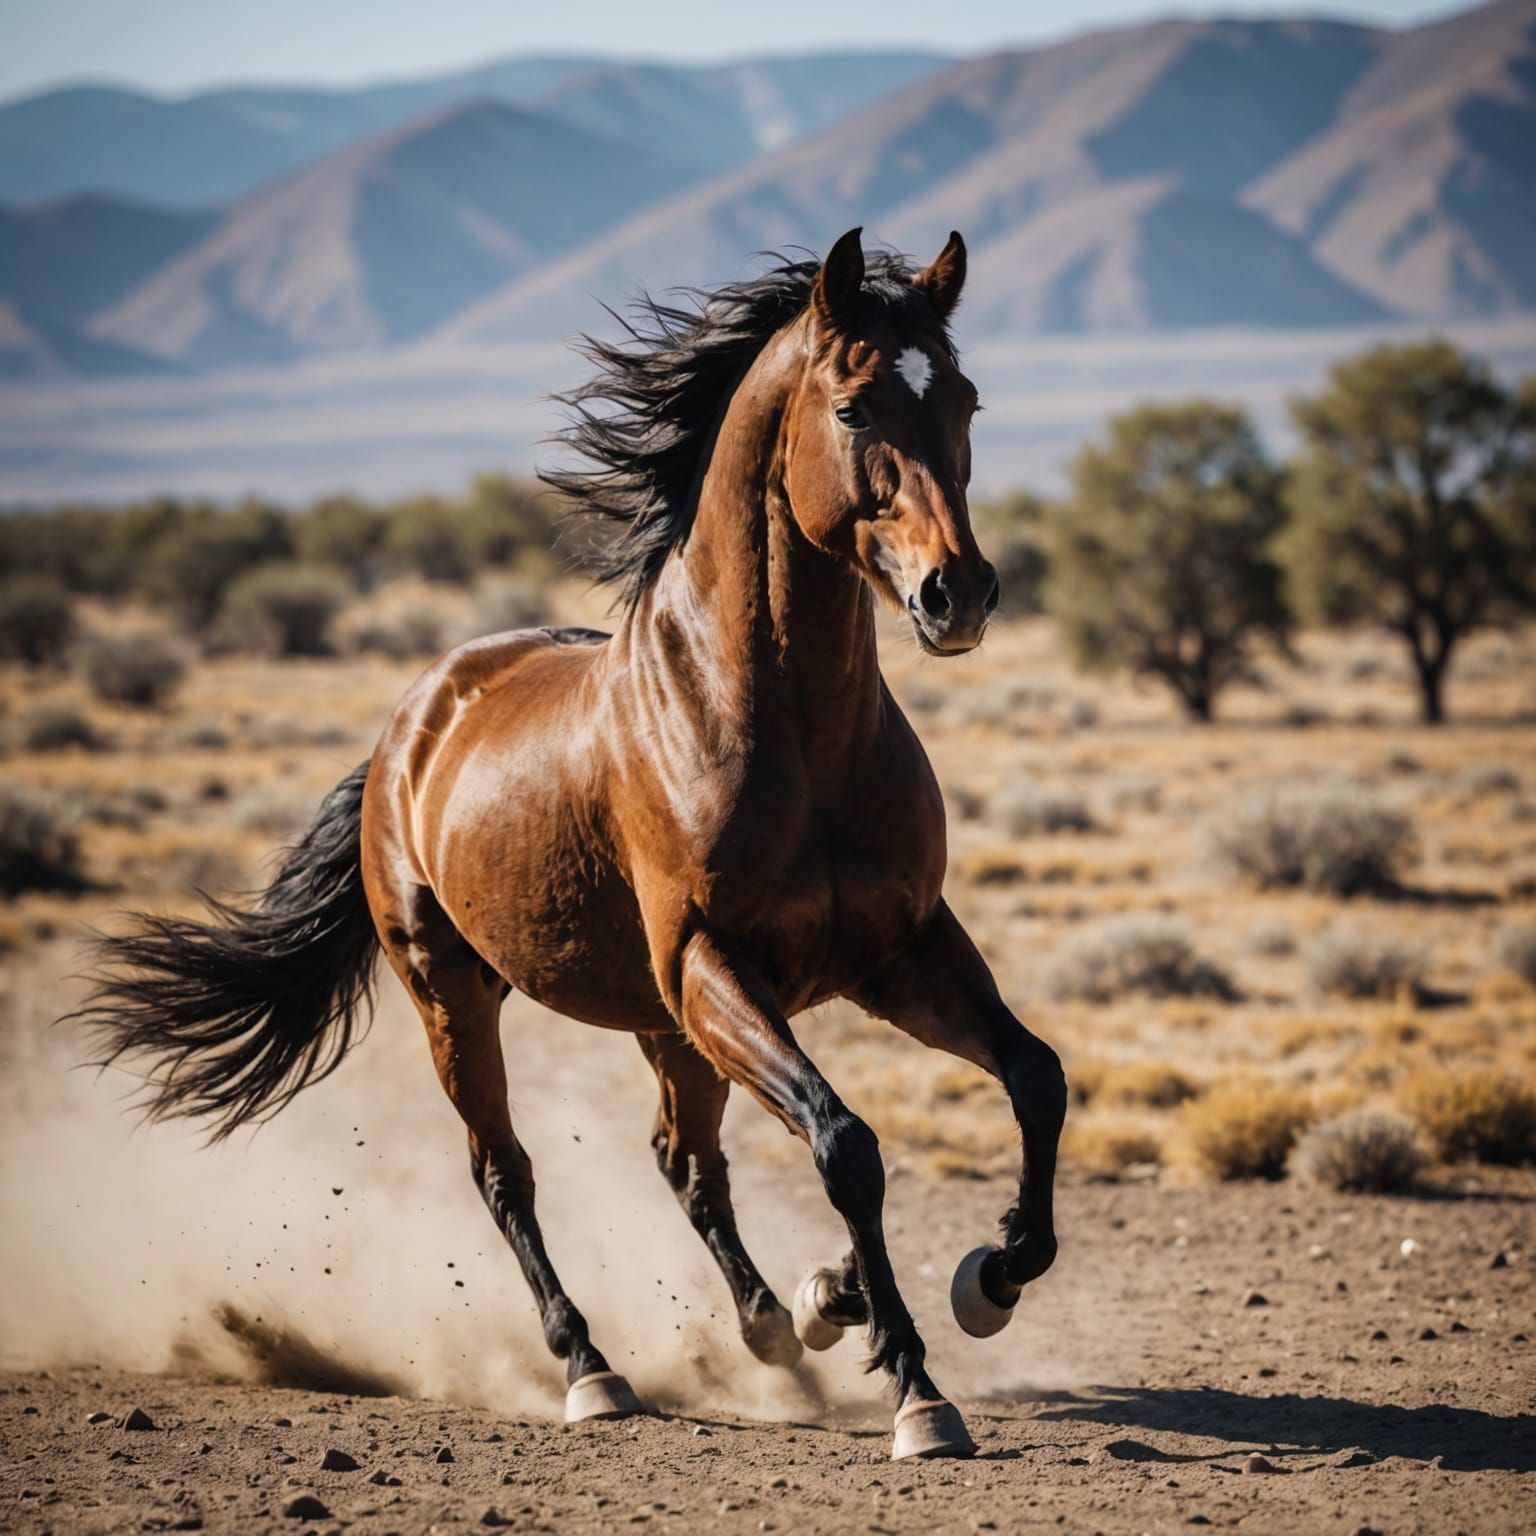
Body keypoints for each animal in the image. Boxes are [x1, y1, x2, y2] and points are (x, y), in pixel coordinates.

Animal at [79, 228, 1067, 1461]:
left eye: (966, 401)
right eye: (852, 407)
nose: (958, 594)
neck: (786, 724)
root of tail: (411, 722)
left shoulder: (900, 951)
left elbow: (1036, 1078)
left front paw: (986, 1277)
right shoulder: (711, 966)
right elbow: (846, 1143)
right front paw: (919, 1392)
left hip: (659, 1021)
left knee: (686, 1164)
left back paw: (789, 1322)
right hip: (461, 994)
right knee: (507, 1173)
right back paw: (596, 1369)